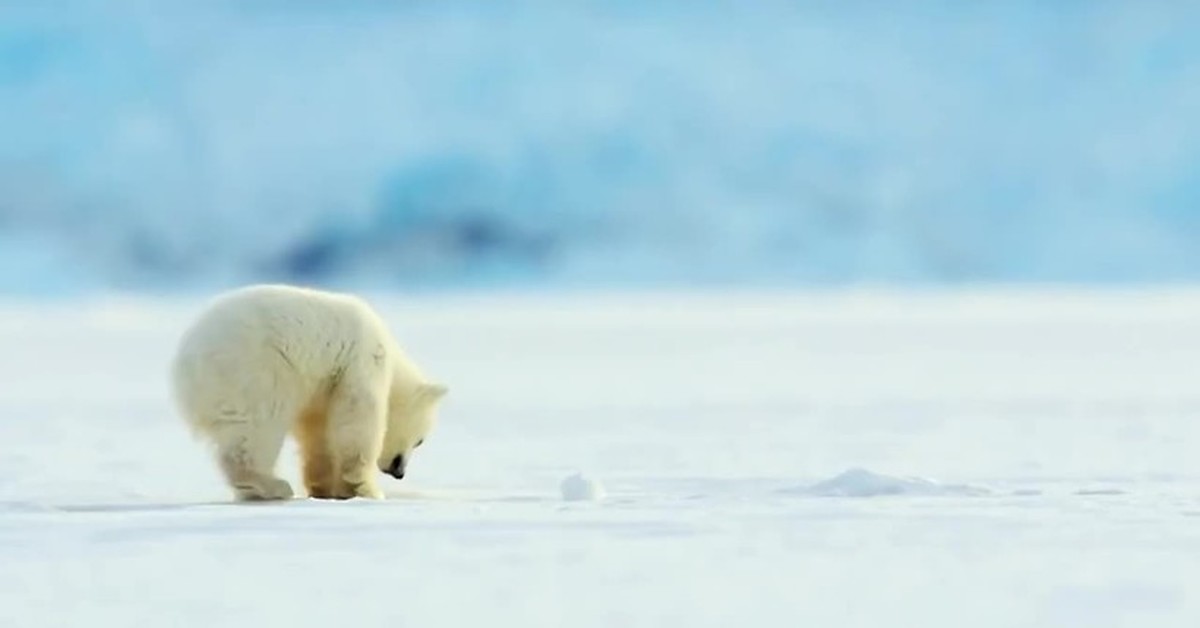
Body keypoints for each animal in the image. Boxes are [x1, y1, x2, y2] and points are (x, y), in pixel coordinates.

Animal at [169, 283, 446, 501]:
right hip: (254, 372)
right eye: (420, 441)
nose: (400, 473)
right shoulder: (362, 360)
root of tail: (185, 365)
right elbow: (358, 417)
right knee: (258, 427)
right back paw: (274, 486)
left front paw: (324, 487)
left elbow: (317, 431)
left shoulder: (322, 388)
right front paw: (366, 488)